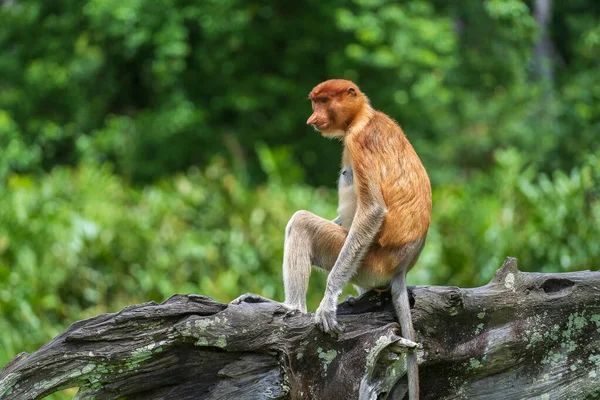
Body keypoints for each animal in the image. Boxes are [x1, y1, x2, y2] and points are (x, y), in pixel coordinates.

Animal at [231, 79, 432, 400]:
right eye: (315, 102)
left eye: (324, 101)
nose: (312, 119)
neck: (363, 116)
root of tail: (401, 267)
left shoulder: (359, 142)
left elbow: (372, 210)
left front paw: (327, 304)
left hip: (368, 262)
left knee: (301, 223)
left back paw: (294, 308)